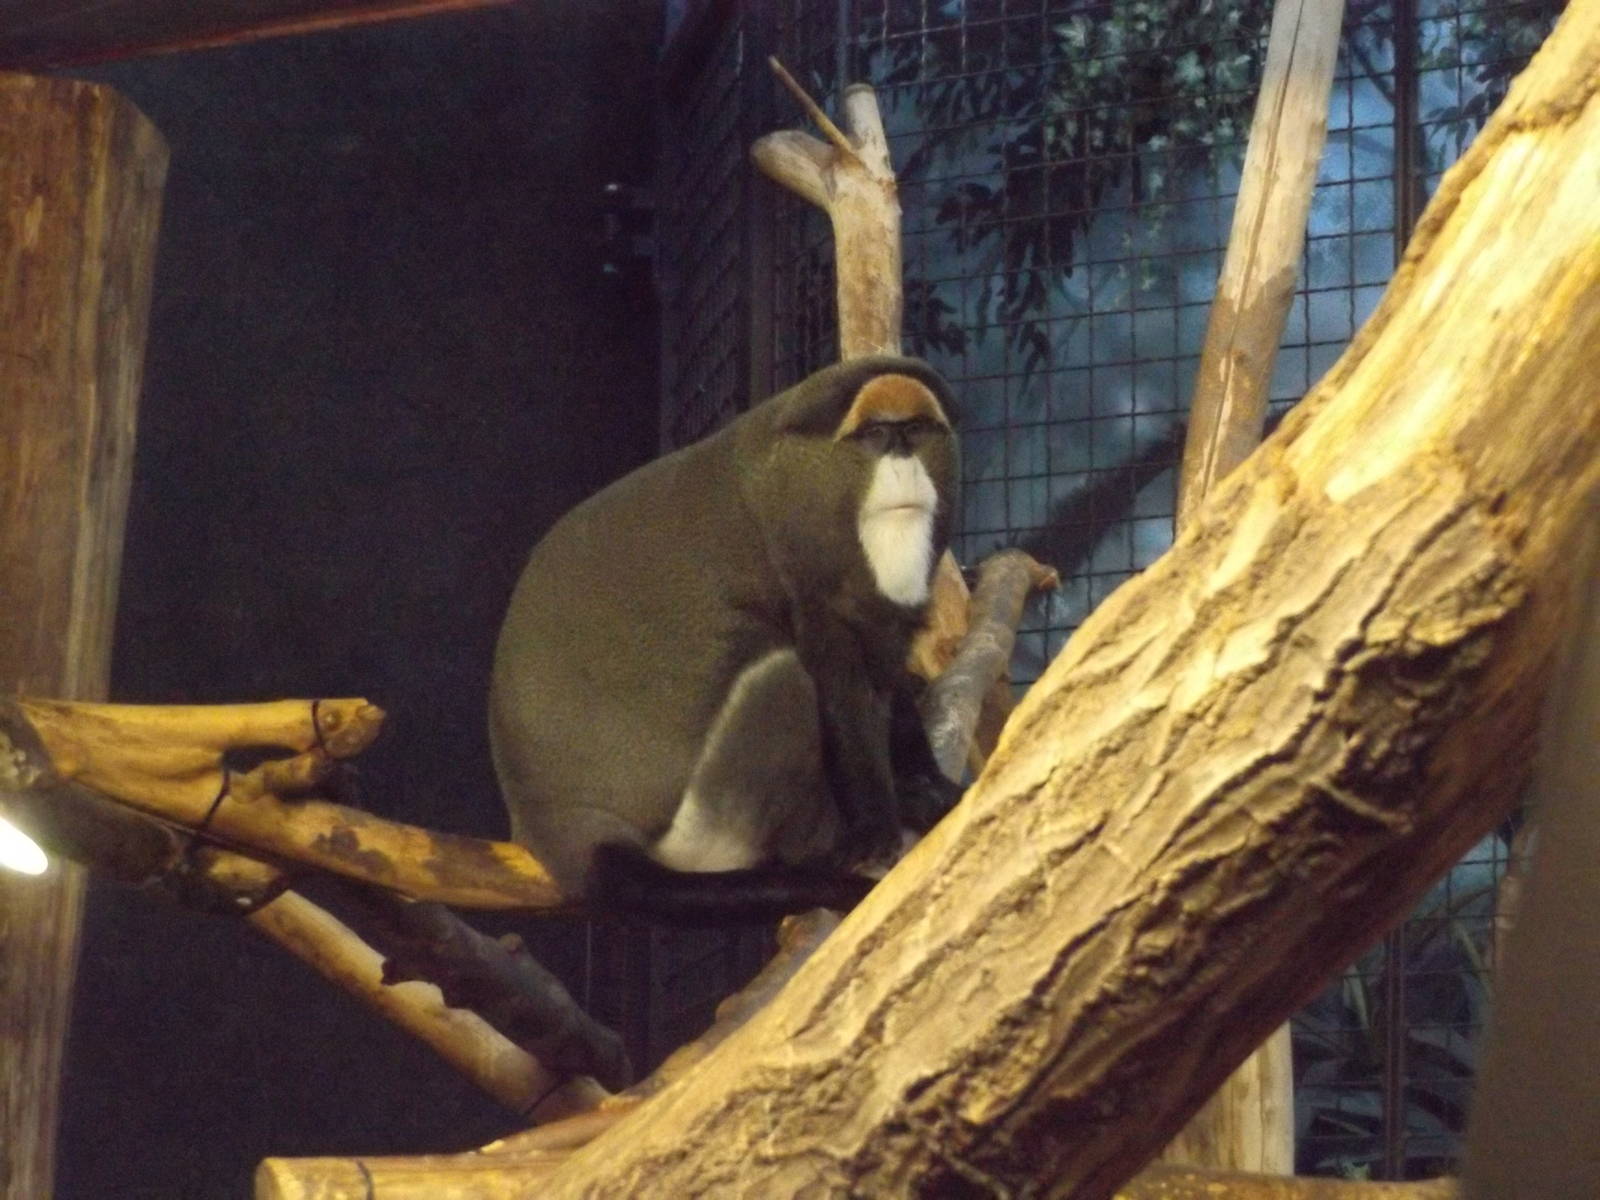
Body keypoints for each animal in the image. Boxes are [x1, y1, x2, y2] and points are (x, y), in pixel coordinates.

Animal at [489, 356, 963, 924]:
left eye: (912, 431)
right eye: (874, 435)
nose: (902, 459)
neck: (776, 476)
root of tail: (565, 832)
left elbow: (885, 683)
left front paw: (927, 787)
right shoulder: (806, 586)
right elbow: (843, 690)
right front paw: (874, 832)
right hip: (702, 831)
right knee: (783, 678)